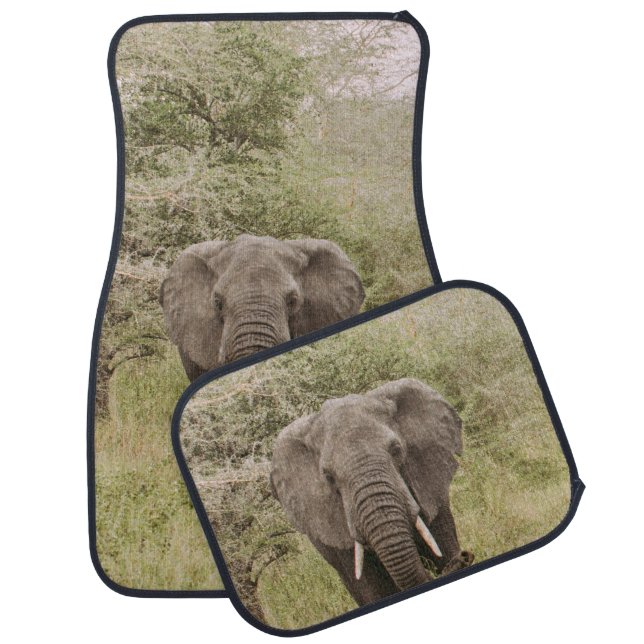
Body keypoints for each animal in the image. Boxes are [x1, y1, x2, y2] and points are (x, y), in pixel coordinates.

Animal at [270, 378, 473, 606]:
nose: (464, 557)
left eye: (396, 450)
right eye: (328, 477)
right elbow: (370, 590)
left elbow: (442, 543)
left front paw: (450, 560)